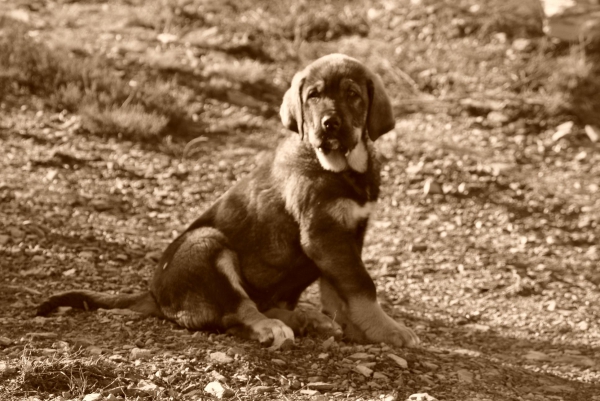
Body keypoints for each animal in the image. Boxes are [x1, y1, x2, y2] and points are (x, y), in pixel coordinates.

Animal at [37, 54, 420, 348]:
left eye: (353, 94)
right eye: (313, 95)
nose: (329, 124)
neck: (343, 170)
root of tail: (154, 295)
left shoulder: (348, 234)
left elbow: (340, 291)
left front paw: (359, 328)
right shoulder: (325, 234)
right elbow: (361, 286)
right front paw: (389, 329)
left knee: (254, 306)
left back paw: (302, 319)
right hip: (205, 243)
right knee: (237, 311)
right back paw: (274, 326)